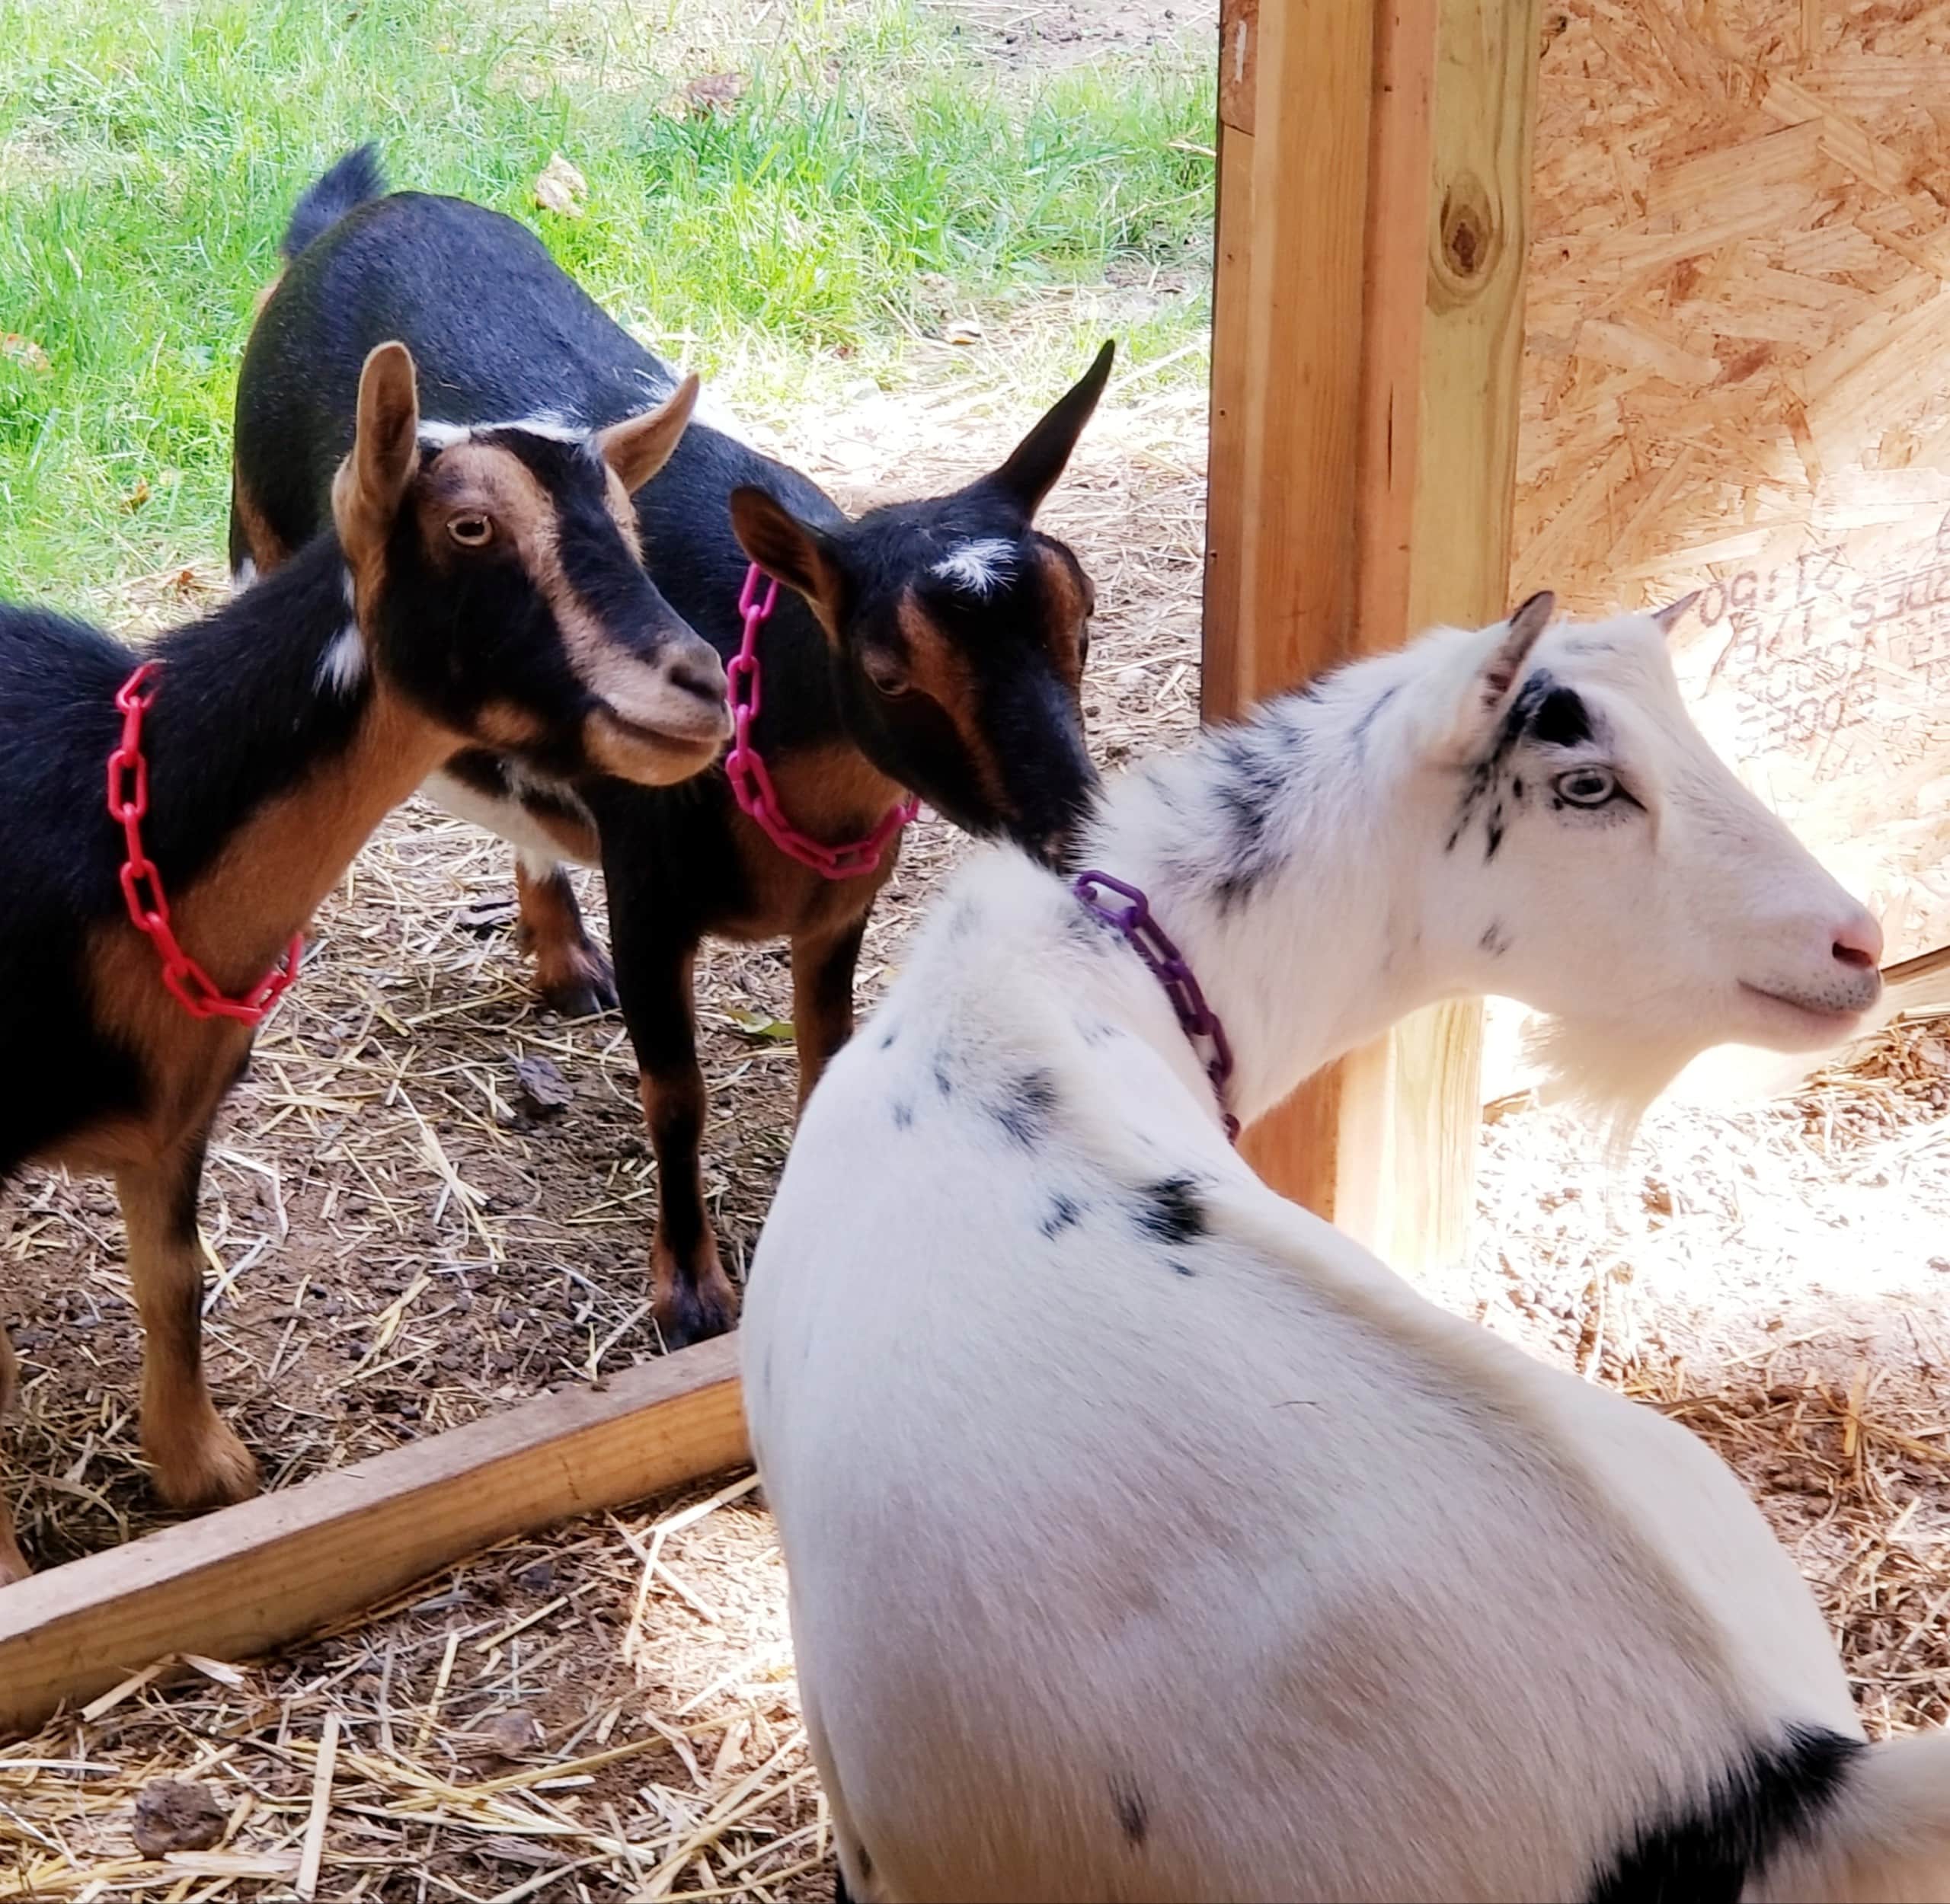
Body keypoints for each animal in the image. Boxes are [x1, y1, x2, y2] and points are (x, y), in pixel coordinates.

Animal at [0, 341, 723, 1581]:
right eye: (470, 528)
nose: (705, 686)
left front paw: (204, 1474)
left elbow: (174, 1278)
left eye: (629, 523)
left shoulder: (179, 1117)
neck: (113, 821)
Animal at [229, 146, 1106, 1347]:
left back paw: (560, 960)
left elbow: (826, 1052)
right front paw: (690, 1292)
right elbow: (676, 1094)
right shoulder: (650, 898)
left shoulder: (839, 907)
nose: (1074, 827)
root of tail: (355, 212)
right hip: (258, 537)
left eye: (1083, 620)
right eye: (889, 671)